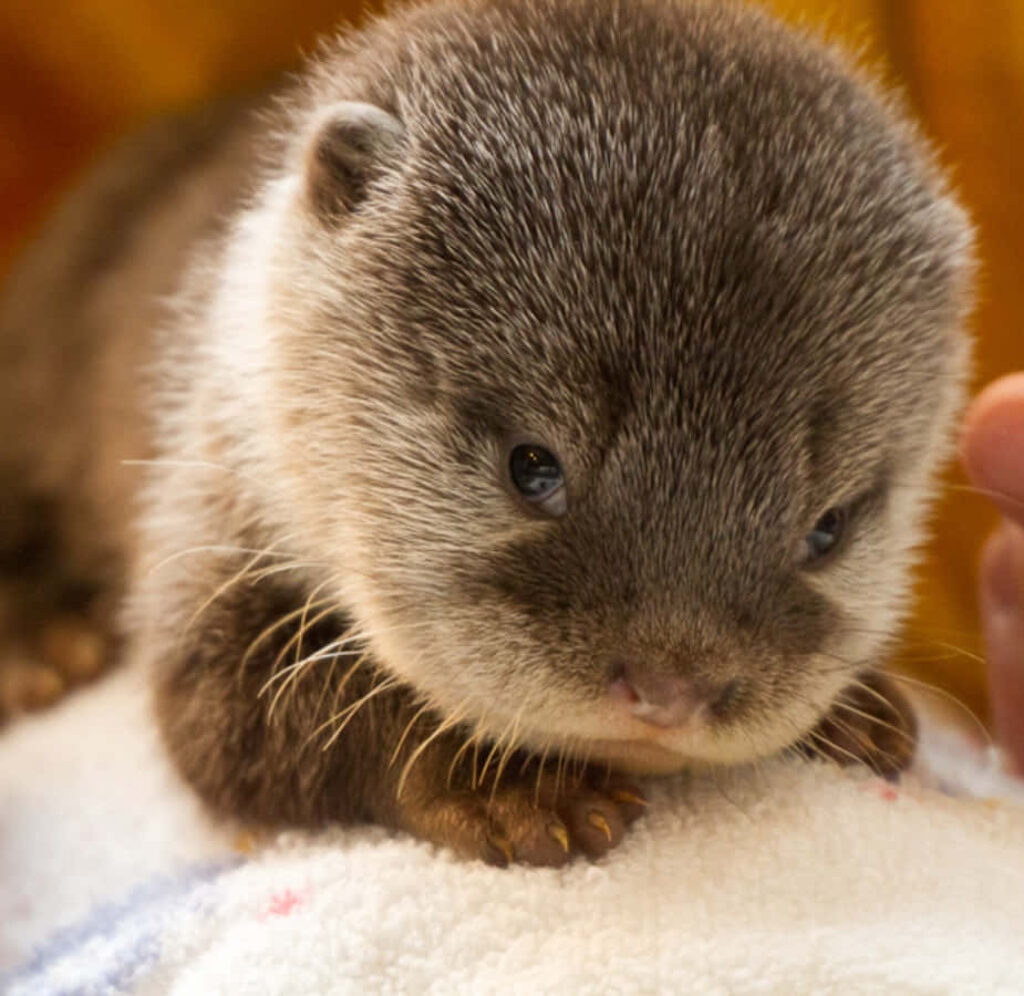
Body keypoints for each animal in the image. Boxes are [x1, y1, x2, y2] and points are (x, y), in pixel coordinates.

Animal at [0, 0, 972, 865]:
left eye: (827, 528)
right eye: (532, 467)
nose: (673, 687)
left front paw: (856, 708)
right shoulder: (207, 508)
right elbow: (232, 717)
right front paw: (505, 786)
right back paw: (38, 646)